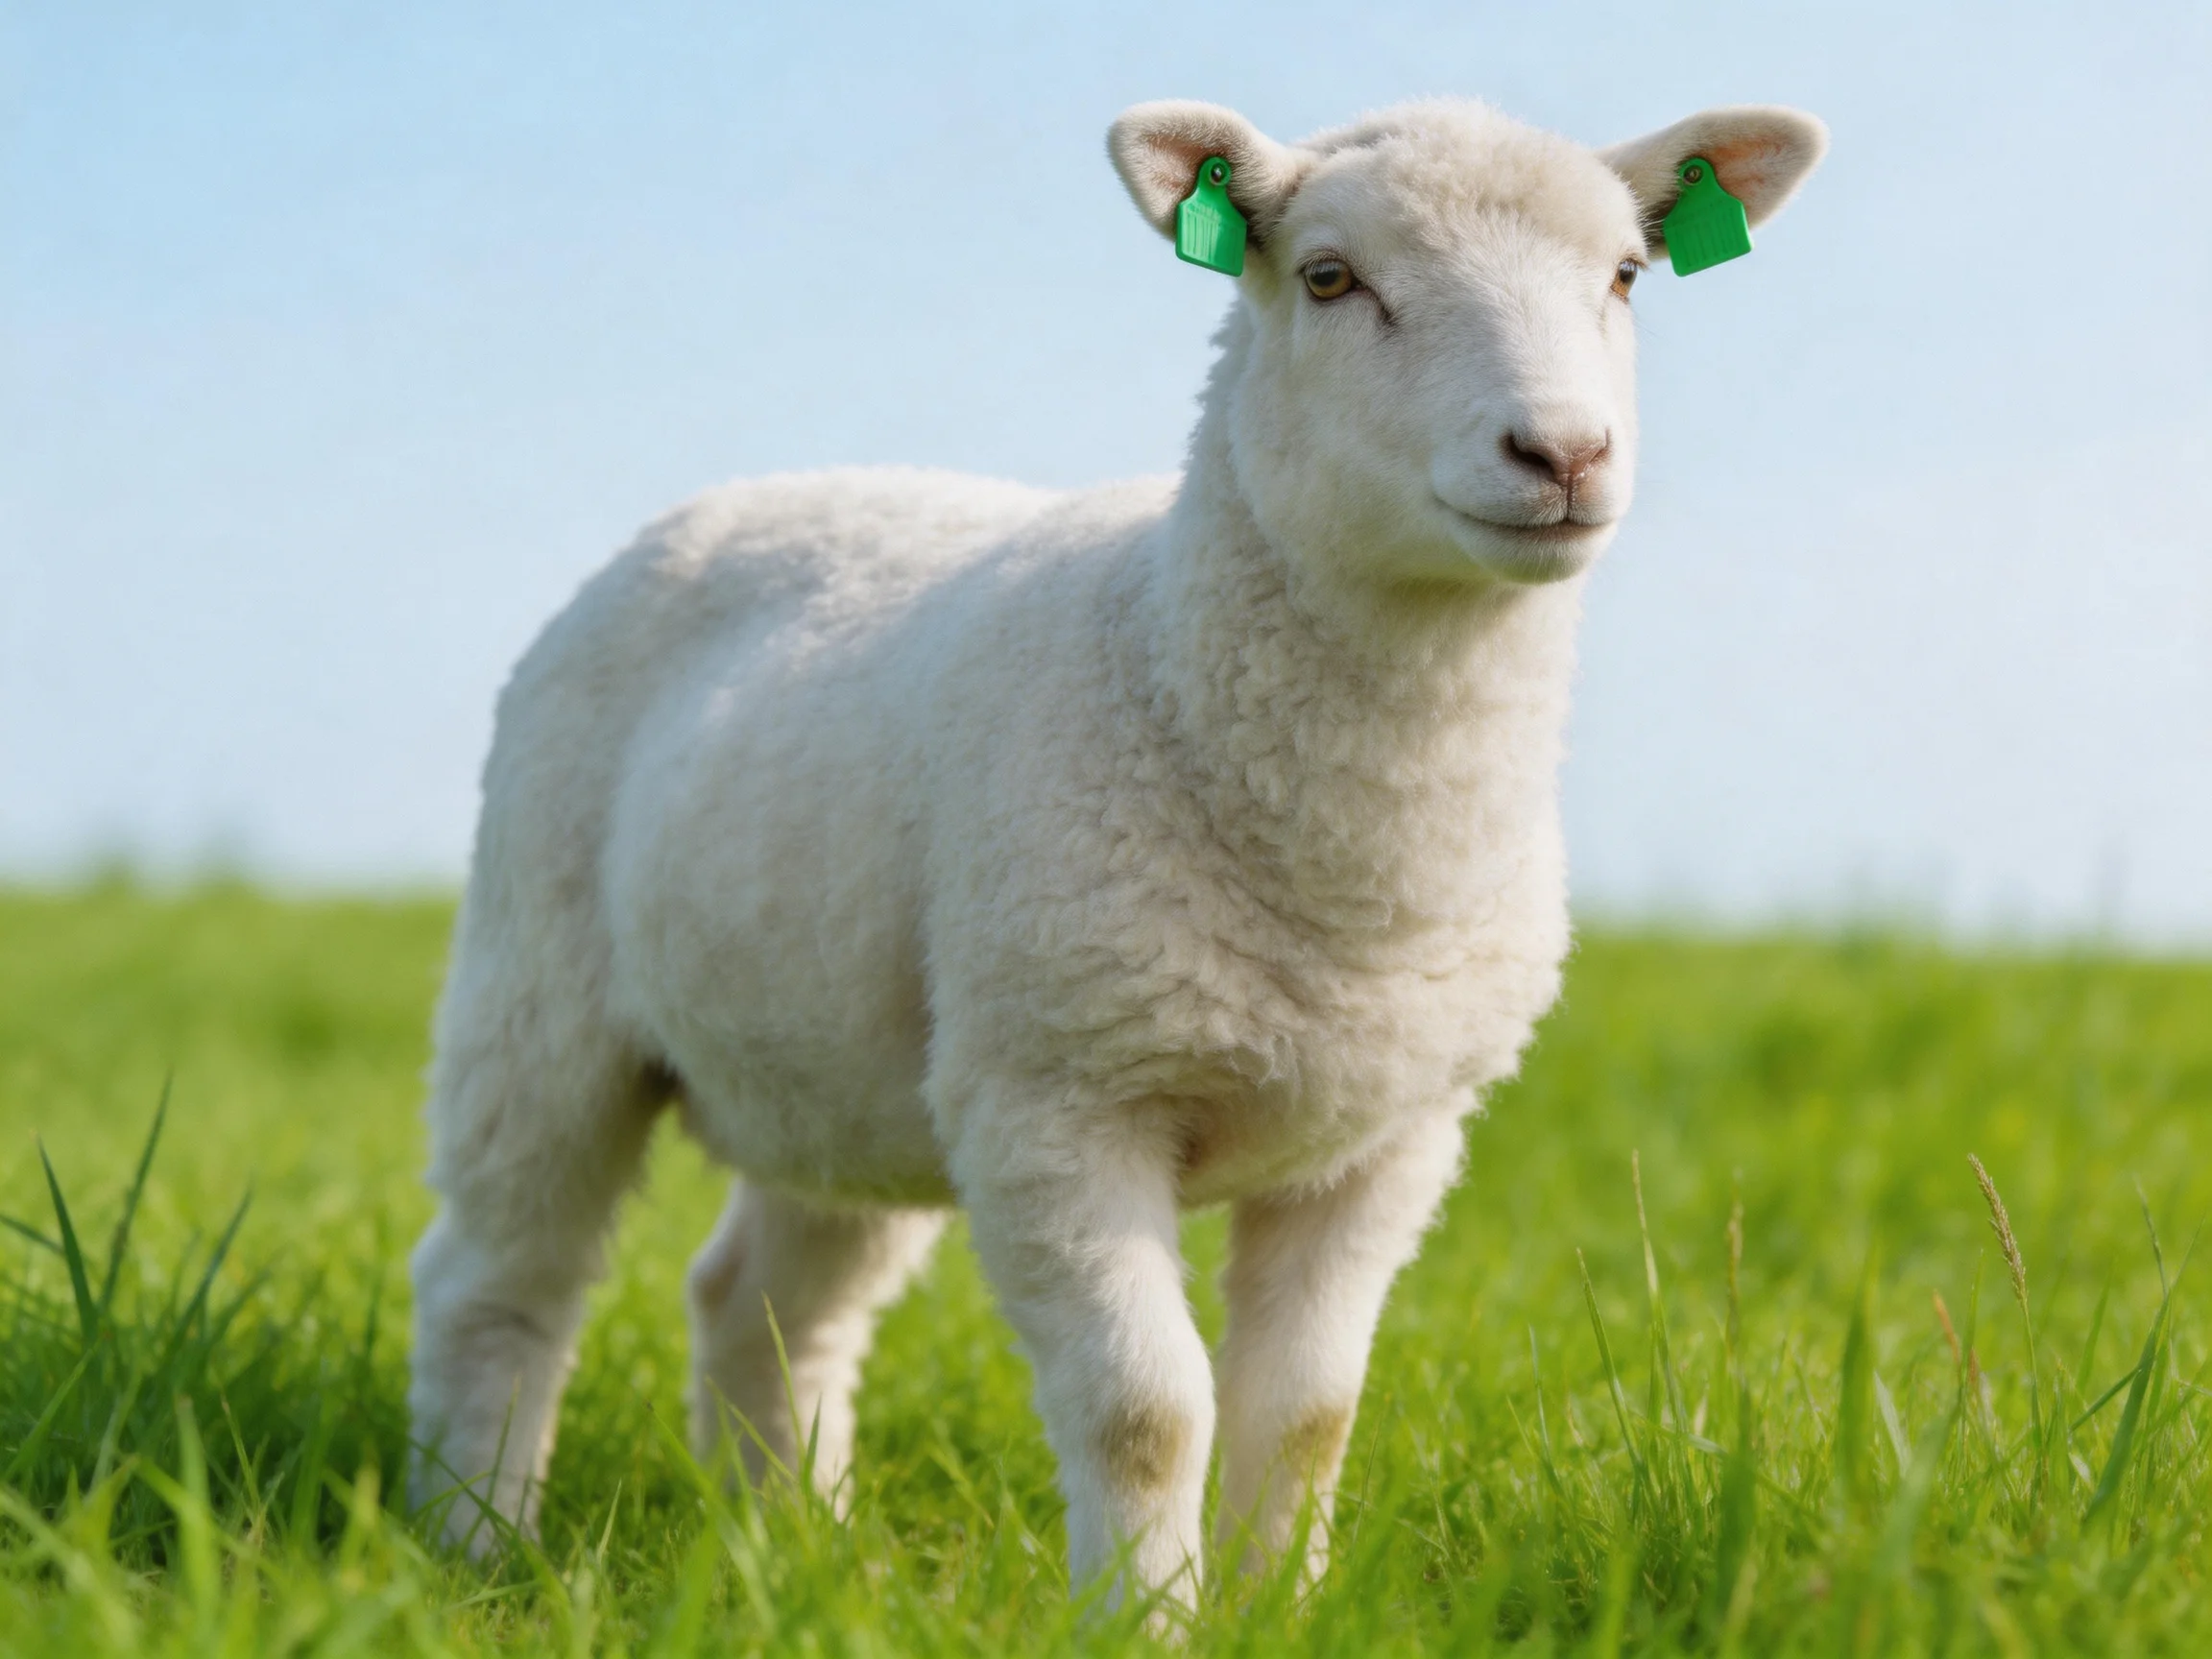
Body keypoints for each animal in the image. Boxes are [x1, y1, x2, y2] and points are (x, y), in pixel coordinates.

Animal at [405, 93, 1826, 1609]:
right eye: (1330, 277)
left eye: (1624, 277)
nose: (1562, 456)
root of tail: (756, 490)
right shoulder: (1063, 1100)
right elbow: (1147, 1408)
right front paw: (1148, 1616)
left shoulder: (1389, 1138)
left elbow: (1308, 1409)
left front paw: (1283, 1607)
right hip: (541, 989)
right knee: (499, 1280)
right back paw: (477, 1541)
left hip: (855, 1068)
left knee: (765, 1303)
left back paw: (795, 1554)